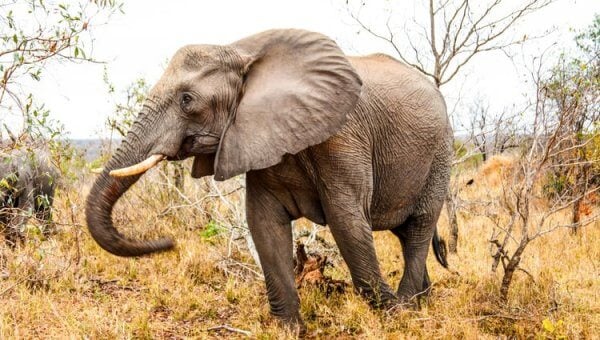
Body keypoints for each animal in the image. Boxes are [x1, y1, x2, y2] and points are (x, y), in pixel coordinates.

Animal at [84, 28, 450, 326]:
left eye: (187, 100)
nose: (169, 242)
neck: (240, 51)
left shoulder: (343, 136)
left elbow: (346, 221)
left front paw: (391, 316)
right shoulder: (258, 136)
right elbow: (264, 222)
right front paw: (288, 328)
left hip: (440, 153)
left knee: (419, 226)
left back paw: (408, 308)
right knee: (406, 234)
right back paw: (422, 302)